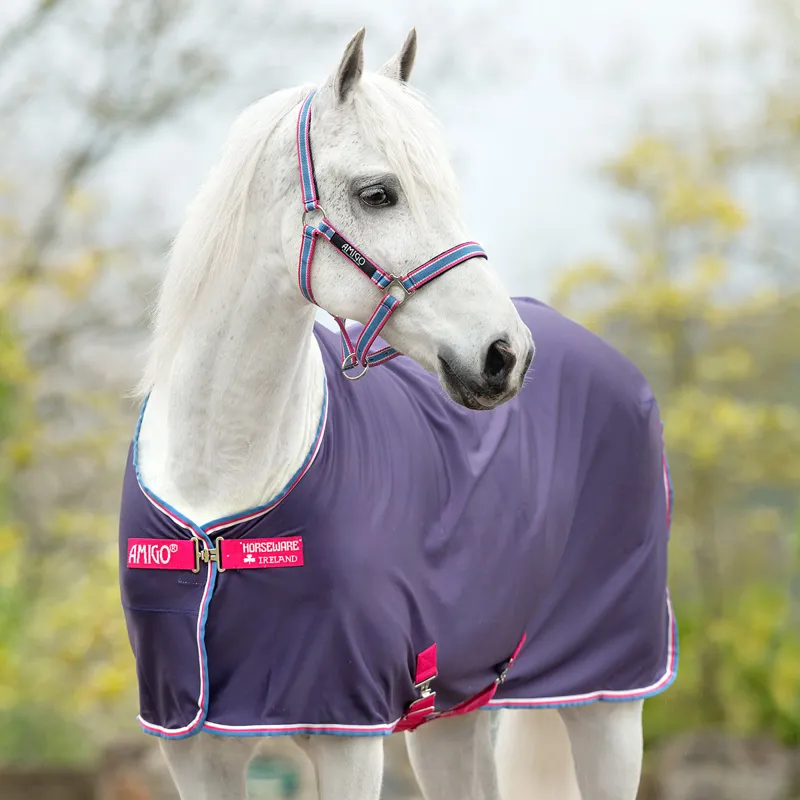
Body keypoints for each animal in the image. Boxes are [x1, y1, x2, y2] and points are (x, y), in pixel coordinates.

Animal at [119, 28, 676, 800]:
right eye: (378, 193)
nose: (505, 355)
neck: (219, 486)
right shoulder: (193, 746)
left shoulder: (348, 737)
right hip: (454, 714)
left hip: (608, 700)